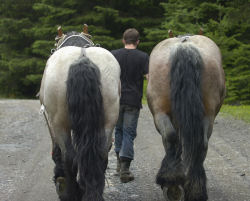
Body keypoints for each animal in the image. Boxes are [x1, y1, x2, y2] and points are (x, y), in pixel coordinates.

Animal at [38, 25, 120, 200]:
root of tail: (82, 58)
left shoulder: (50, 122)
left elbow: (57, 152)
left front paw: (60, 179)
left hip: (60, 124)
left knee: (69, 157)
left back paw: (71, 192)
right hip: (108, 121)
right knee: (101, 155)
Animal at [146, 35, 227, 201]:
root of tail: (185, 46)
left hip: (160, 112)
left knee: (171, 137)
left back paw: (172, 182)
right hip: (207, 115)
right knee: (201, 143)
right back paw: (194, 189)